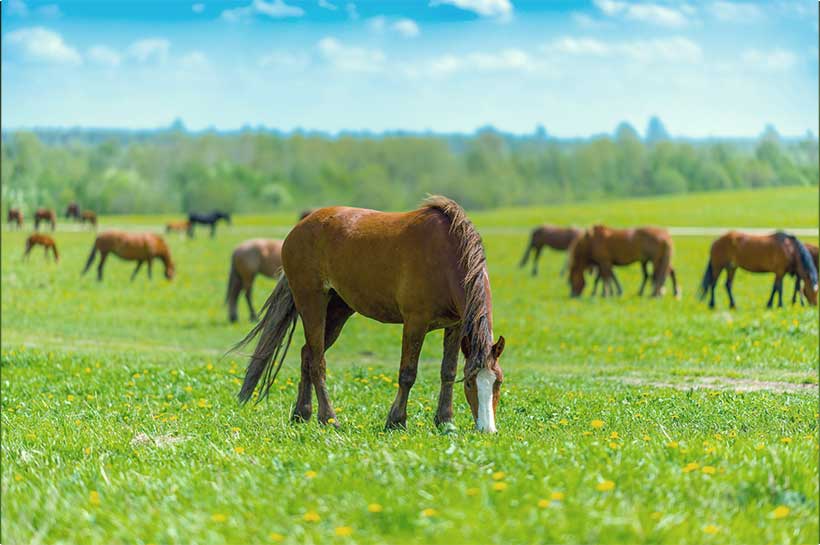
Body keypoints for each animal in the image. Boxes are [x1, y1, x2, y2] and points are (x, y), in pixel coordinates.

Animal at [232, 198, 506, 432]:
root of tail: (298, 229)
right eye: (470, 382)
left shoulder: (455, 326)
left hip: (339, 309)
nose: (487, 429)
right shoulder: (415, 322)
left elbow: (447, 371)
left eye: (499, 382)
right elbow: (408, 373)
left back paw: (302, 414)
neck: (446, 256)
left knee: (307, 355)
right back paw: (329, 418)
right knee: (318, 361)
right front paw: (396, 421)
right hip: (311, 302)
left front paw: (445, 421)